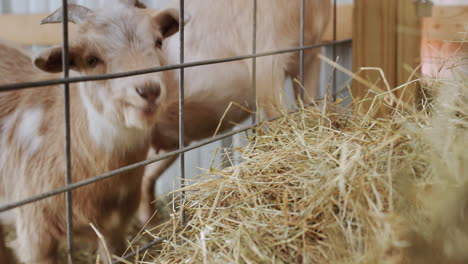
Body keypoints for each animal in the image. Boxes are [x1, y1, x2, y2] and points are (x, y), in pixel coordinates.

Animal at [137, 0, 330, 223]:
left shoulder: (311, 54)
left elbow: (310, 101)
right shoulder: (265, 61)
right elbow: (279, 115)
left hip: (169, 145)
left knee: (145, 178)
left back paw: (152, 225)